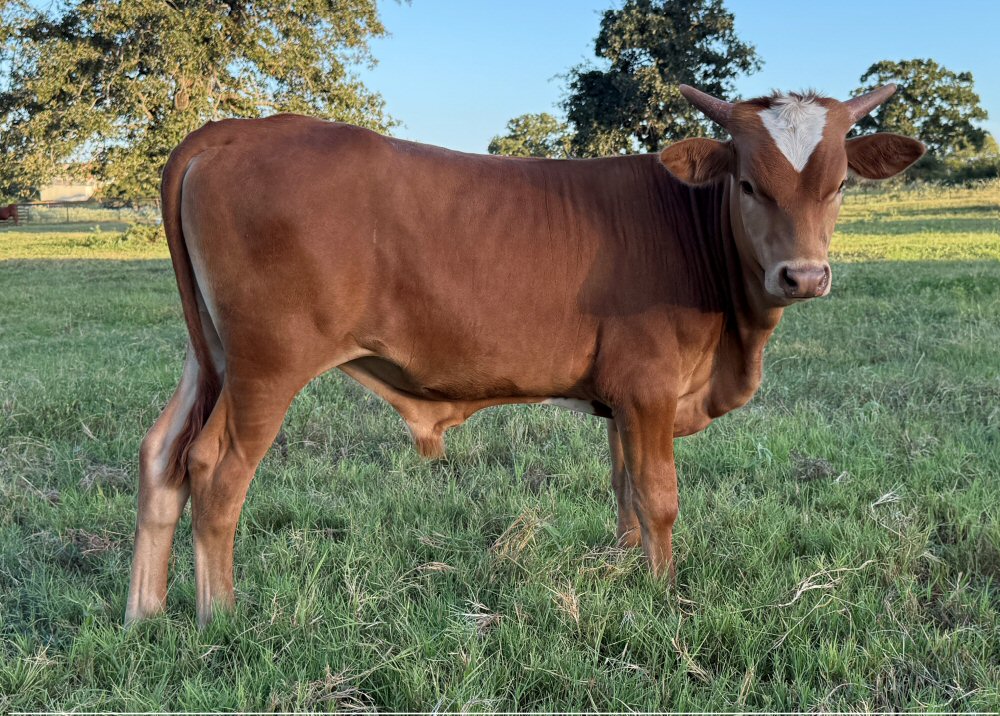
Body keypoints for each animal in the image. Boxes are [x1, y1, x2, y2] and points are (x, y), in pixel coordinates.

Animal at [125, 84, 924, 625]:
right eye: (751, 184)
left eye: (839, 185)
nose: (805, 276)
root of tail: (232, 132)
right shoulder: (649, 387)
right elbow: (659, 497)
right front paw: (664, 594)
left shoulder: (620, 399)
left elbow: (625, 493)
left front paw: (627, 575)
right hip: (267, 365)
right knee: (216, 472)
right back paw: (220, 616)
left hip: (212, 356)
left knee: (162, 456)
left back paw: (147, 613)